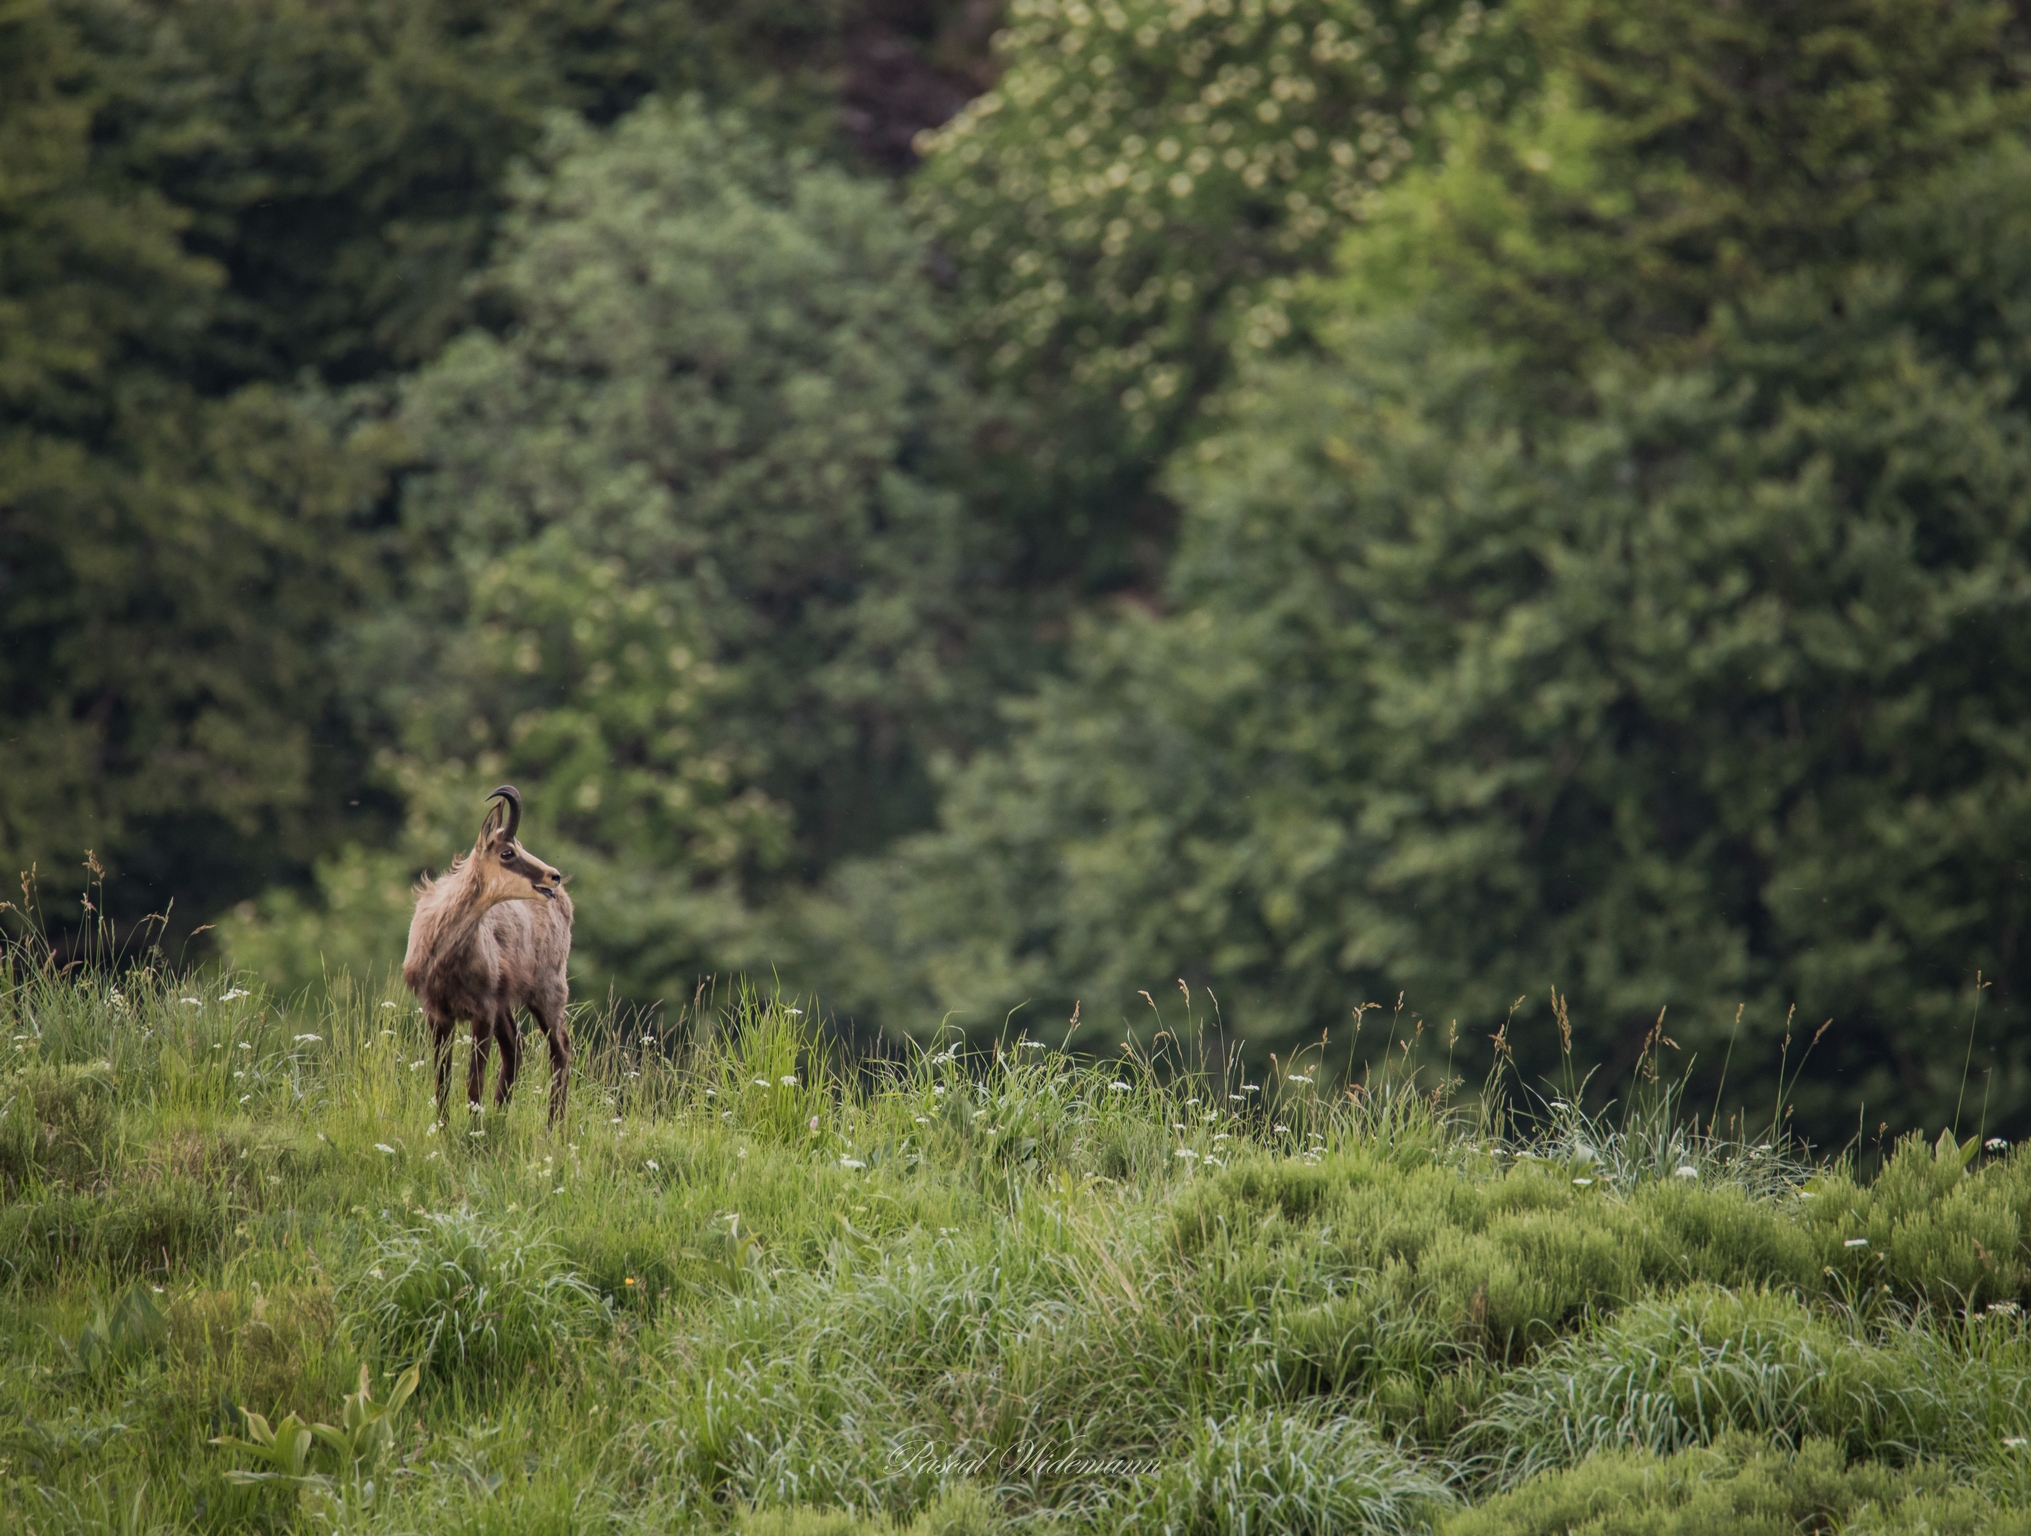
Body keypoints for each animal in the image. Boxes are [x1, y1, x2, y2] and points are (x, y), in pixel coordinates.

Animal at [402, 785, 574, 1127]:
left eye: (519, 846)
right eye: (507, 852)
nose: (554, 876)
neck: (445, 952)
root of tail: (566, 903)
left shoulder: (481, 1009)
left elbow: (473, 1080)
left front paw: (472, 1130)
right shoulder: (438, 1011)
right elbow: (442, 1080)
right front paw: (444, 1130)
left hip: (547, 989)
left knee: (559, 1048)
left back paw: (553, 1128)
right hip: (505, 1002)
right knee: (515, 1046)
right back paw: (500, 1116)